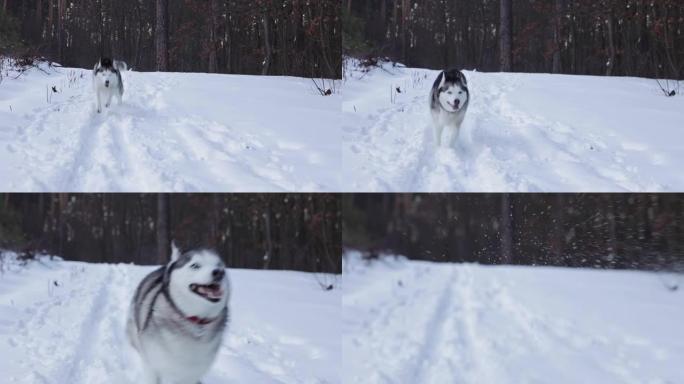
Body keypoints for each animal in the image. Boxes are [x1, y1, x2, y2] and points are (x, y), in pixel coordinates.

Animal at [124, 246, 228, 384]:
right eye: (195, 265)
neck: (195, 321)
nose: (219, 272)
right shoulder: (152, 364)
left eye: (219, 265)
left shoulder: (190, 374)